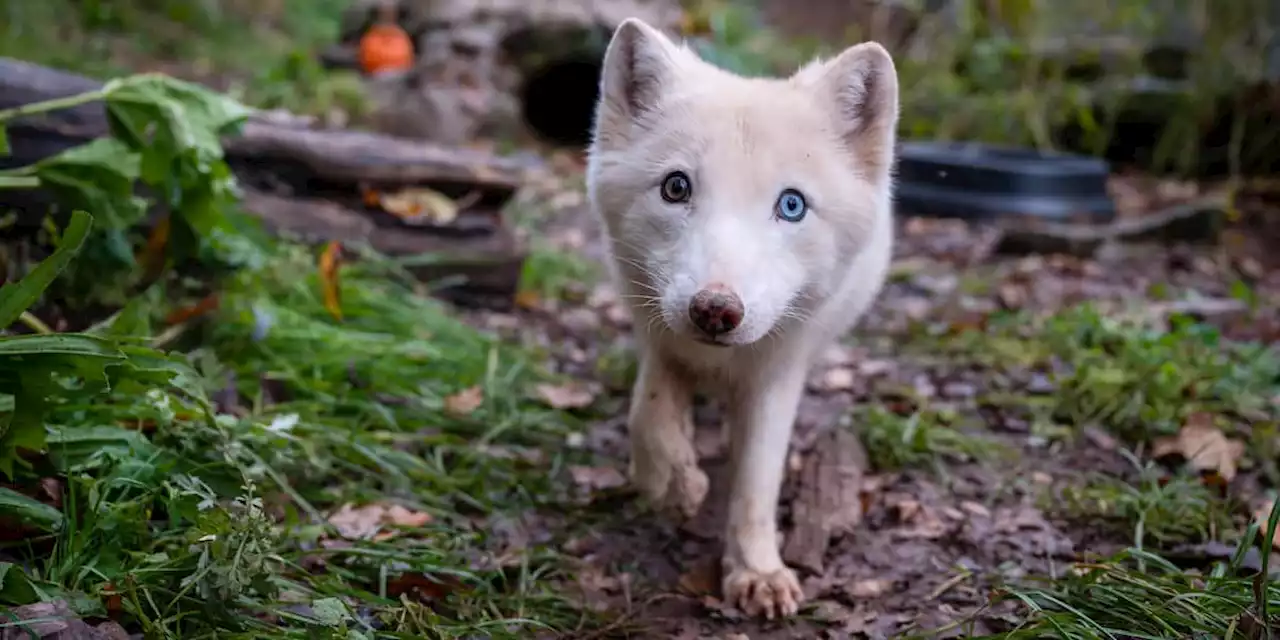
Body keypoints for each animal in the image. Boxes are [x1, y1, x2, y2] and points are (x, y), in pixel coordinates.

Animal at [586, 16, 896, 619]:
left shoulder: (778, 373)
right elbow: (647, 412)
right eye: (676, 187)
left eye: (792, 205)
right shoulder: (658, 335)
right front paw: (672, 484)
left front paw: (756, 572)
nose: (715, 311)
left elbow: (756, 479)